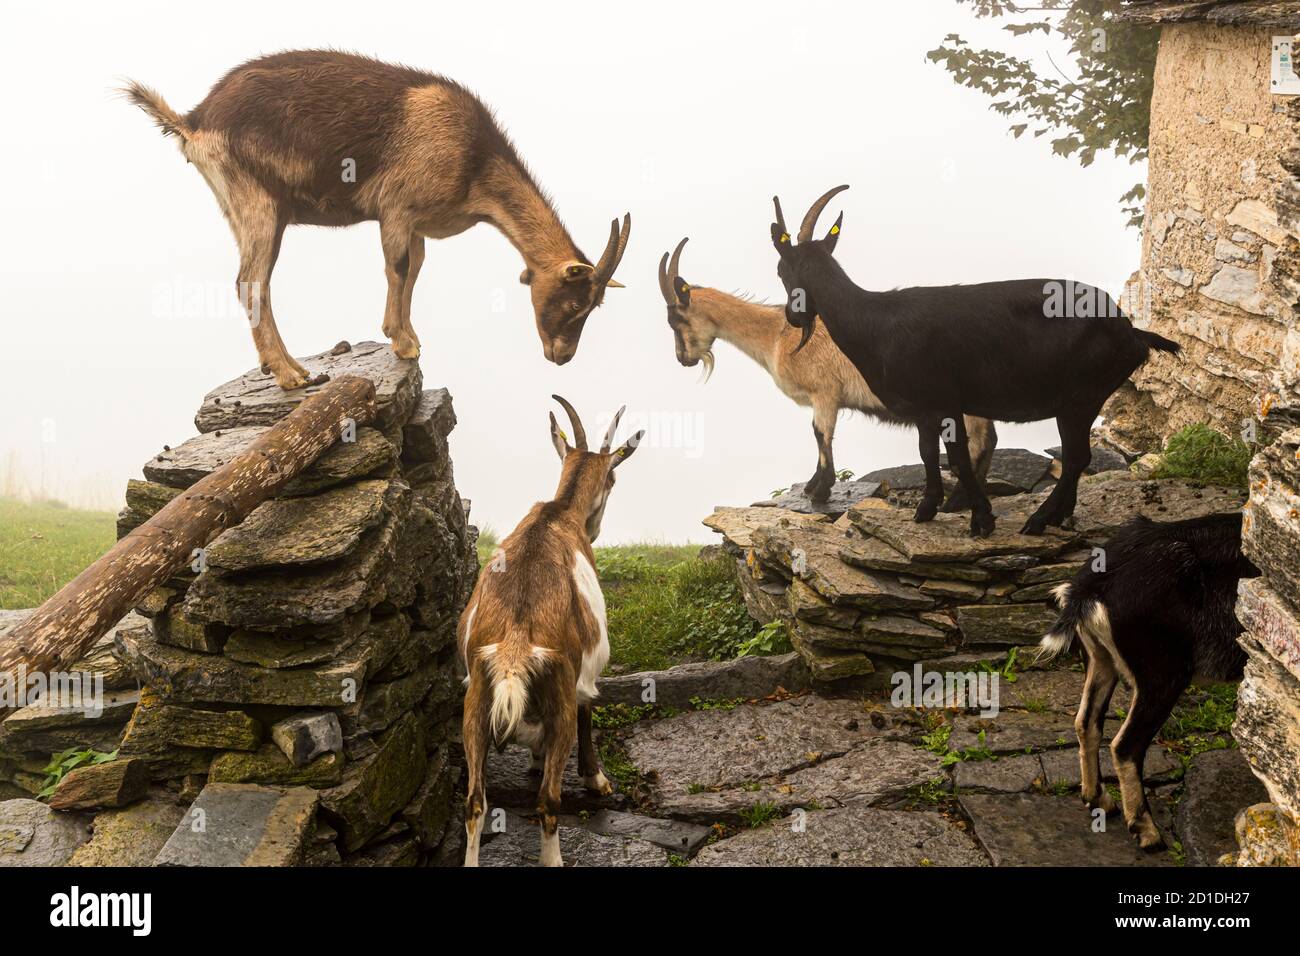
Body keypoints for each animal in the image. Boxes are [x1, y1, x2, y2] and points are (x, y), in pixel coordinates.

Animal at [125, 51, 630, 389]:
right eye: (575, 303)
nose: (561, 357)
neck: (475, 161)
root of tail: (194, 120)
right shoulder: (397, 208)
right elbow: (398, 267)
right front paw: (401, 342)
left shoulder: (416, 223)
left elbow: (415, 269)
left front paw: (410, 337)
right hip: (258, 201)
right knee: (250, 280)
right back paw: (291, 373)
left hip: (239, 207)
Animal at [459, 396, 644, 867]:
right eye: (613, 478)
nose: (596, 528)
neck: (559, 513)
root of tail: (514, 647)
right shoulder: (586, 671)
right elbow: (589, 708)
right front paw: (597, 779)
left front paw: (536, 758)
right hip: (558, 693)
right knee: (548, 802)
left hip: (475, 703)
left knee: (475, 803)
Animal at [659, 238, 997, 508]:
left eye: (675, 320)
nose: (683, 359)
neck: (777, 335)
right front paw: (812, 486)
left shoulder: (824, 392)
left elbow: (820, 433)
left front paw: (820, 490)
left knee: (978, 443)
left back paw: (956, 502)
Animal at [769, 185, 1180, 537]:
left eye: (780, 269)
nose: (793, 316)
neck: (875, 323)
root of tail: (1130, 331)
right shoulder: (924, 410)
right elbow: (927, 454)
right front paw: (926, 510)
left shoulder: (947, 402)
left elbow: (958, 460)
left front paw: (981, 520)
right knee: (1079, 457)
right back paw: (1059, 516)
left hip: (1079, 398)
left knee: (1077, 457)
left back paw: (1038, 520)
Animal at [1038, 512, 1259, 850]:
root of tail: (1089, 588)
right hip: (1162, 672)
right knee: (1126, 745)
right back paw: (1147, 831)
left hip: (1100, 657)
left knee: (1086, 722)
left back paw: (1099, 800)